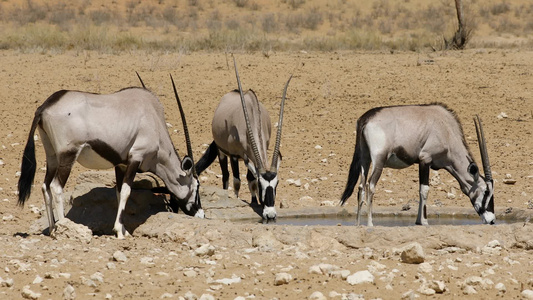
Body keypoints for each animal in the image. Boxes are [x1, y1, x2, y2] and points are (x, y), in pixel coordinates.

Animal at [18, 75, 202, 239]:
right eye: (196, 185)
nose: (200, 214)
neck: (154, 121)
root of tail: (45, 106)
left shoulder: (120, 164)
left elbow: (119, 193)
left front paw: (124, 230)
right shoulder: (136, 157)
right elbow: (127, 191)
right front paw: (119, 232)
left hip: (52, 156)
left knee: (45, 186)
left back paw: (52, 229)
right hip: (68, 155)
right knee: (56, 187)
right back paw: (65, 228)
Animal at [195, 58, 290, 219]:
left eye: (276, 184)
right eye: (261, 185)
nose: (270, 215)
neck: (252, 116)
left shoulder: (251, 157)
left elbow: (250, 180)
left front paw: (254, 201)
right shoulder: (234, 155)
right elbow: (237, 181)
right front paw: (237, 199)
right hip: (222, 152)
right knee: (226, 176)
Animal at [340, 104, 494, 226]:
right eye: (486, 191)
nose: (491, 220)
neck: (446, 130)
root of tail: (366, 118)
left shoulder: (423, 163)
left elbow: (420, 190)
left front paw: (418, 221)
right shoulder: (425, 159)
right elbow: (424, 190)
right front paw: (424, 221)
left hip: (365, 159)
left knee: (361, 186)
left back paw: (358, 224)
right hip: (379, 159)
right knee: (370, 185)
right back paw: (370, 223)